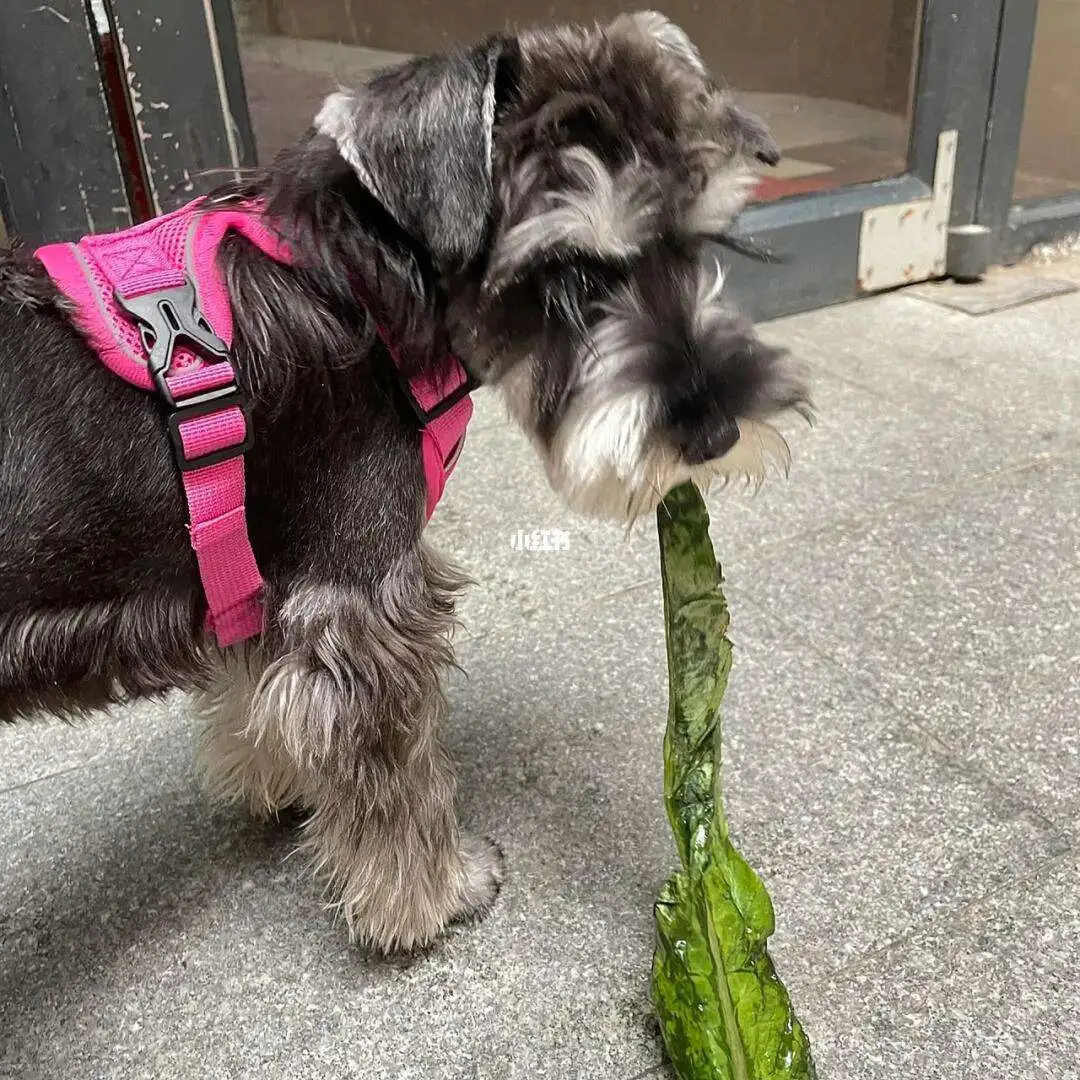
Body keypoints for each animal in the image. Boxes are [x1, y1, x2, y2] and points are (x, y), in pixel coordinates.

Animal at [0, 12, 807, 950]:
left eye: (701, 240)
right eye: (572, 274)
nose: (719, 432)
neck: (365, 286)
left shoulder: (266, 570)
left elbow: (259, 687)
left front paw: (278, 777)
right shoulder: (361, 595)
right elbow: (394, 769)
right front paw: (434, 894)